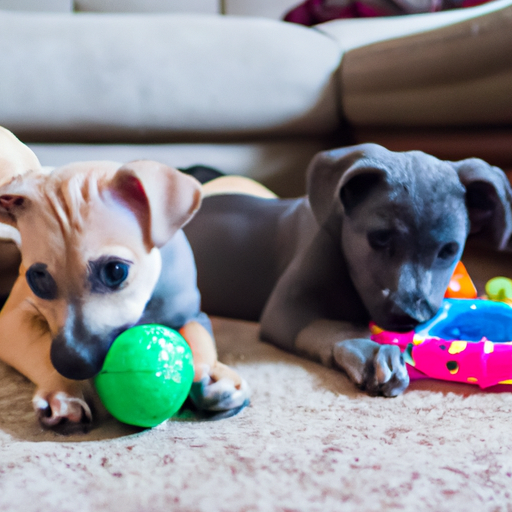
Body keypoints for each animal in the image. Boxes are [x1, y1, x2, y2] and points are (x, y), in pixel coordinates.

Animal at [0, 129, 249, 432]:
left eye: (116, 271)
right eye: (37, 278)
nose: (73, 365)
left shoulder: (194, 314)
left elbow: (199, 335)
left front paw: (212, 374)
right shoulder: (11, 320)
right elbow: (38, 347)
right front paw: (63, 392)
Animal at [186, 144, 512, 396]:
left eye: (449, 251)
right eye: (379, 237)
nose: (410, 317)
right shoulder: (285, 309)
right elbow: (330, 327)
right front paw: (370, 352)